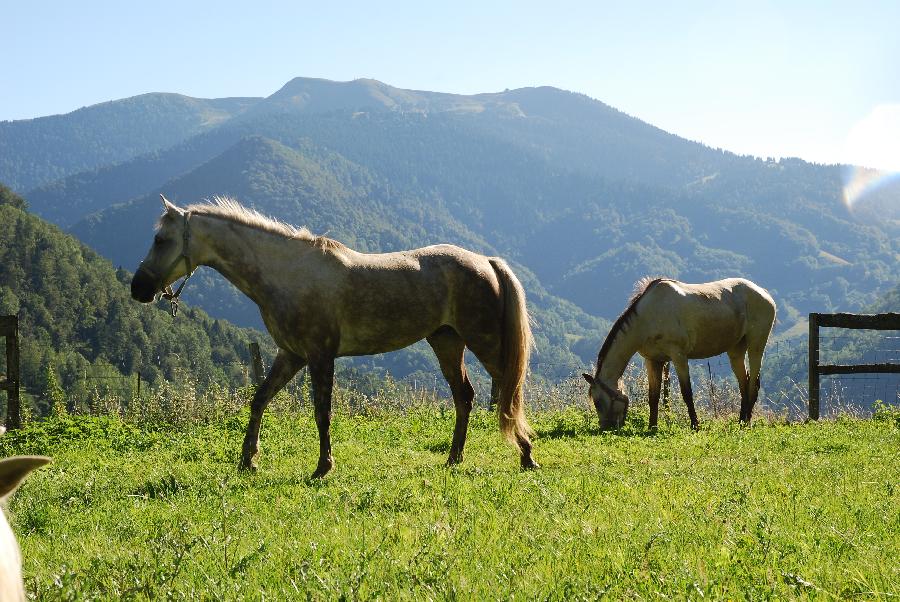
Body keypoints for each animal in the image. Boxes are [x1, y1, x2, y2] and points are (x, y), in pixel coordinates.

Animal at [126, 196, 536, 474]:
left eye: (161, 240)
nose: (138, 288)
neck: (289, 274)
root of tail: (486, 261)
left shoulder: (319, 356)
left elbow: (322, 411)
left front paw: (323, 466)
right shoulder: (290, 355)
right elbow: (259, 400)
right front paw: (248, 460)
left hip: (483, 342)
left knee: (509, 393)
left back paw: (527, 455)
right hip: (446, 341)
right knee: (464, 396)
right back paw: (454, 458)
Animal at [580, 278, 776, 428]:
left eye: (598, 402)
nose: (606, 427)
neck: (649, 317)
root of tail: (764, 293)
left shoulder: (679, 357)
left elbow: (686, 393)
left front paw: (695, 425)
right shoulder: (653, 360)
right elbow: (654, 396)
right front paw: (652, 426)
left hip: (756, 345)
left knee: (753, 384)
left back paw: (747, 423)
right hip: (736, 350)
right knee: (744, 383)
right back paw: (741, 421)